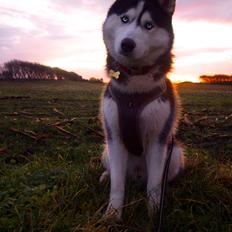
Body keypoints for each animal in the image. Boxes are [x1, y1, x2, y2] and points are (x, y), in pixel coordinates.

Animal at [100, 0, 184, 221]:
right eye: (124, 19)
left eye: (148, 25)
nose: (127, 44)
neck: (134, 91)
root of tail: (137, 175)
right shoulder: (115, 138)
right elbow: (117, 185)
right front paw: (113, 214)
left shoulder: (157, 140)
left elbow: (154, 184)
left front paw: (154, 213)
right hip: (106, 150)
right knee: (115, 172)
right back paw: (106, 176)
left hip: (174, 153)